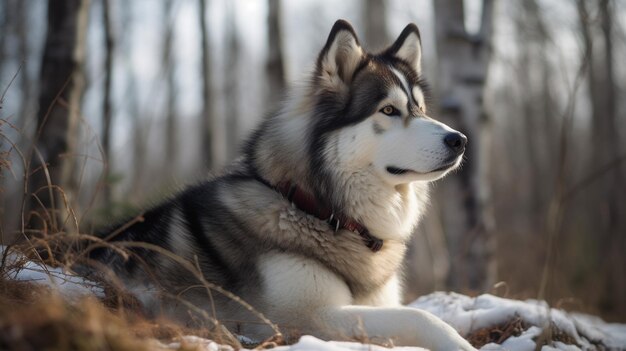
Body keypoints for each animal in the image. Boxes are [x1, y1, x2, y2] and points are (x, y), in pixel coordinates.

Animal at [90, 20, 472, 351]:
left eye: (420, 109)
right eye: (389, 110)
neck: (316, 208)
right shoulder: (304, 318)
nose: (460, 140)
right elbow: (420, 317)